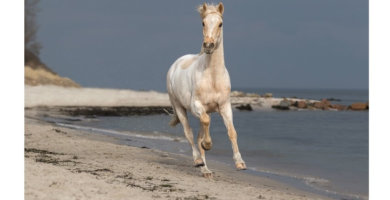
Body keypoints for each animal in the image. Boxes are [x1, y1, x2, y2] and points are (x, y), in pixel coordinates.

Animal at [166, 1, 245, 177]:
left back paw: (206, 170)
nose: (208, 45)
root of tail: (175, 64)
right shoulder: (197, 105)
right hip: (180, 108)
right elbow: (205, 126)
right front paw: (208, 145)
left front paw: (240, 163)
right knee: (189, 133)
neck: (213, 77)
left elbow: (232, 132)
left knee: (199, 134)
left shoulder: (224, 106)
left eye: (220, 23)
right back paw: (198, 161)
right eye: (203, 23)